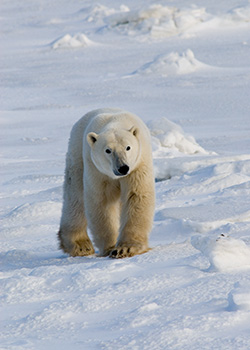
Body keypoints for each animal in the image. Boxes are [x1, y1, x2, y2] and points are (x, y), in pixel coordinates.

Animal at [57, 108, 155, 258]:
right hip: (77, 155)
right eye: (108, 150)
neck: (115, 122)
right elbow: (102, 202)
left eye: (128, 147)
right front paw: (110, 248)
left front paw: (126, 249)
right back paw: (80, 245)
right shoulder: (97, 170)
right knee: (75, 196)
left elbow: (136, 196)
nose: (123, 168)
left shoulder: (138, 165)